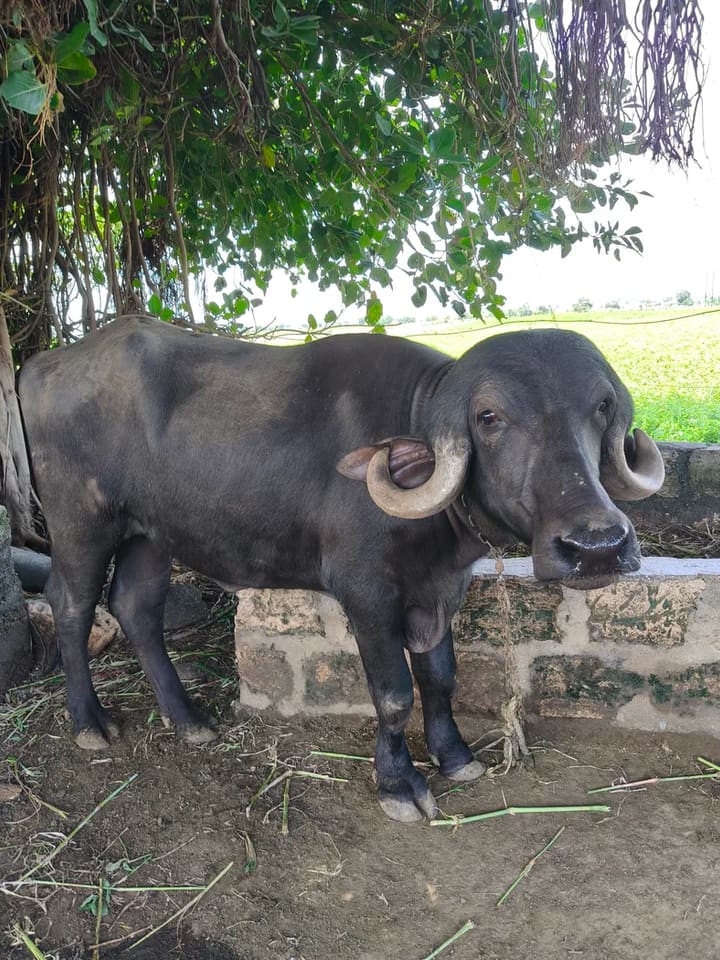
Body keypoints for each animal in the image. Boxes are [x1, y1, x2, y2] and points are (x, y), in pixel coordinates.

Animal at [18, 316, 664, 821]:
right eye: (489, 417)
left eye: (602, 407)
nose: (597, 546)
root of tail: (41, 365)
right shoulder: (367, 592)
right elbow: (394, 691)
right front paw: (399, 784)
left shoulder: (439, 591)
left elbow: (440, 677)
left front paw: (455, 757)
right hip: (82, 522)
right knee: (71, 604)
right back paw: (90, 723)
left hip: (150, 532)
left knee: (136, 607)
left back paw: (188, 718)